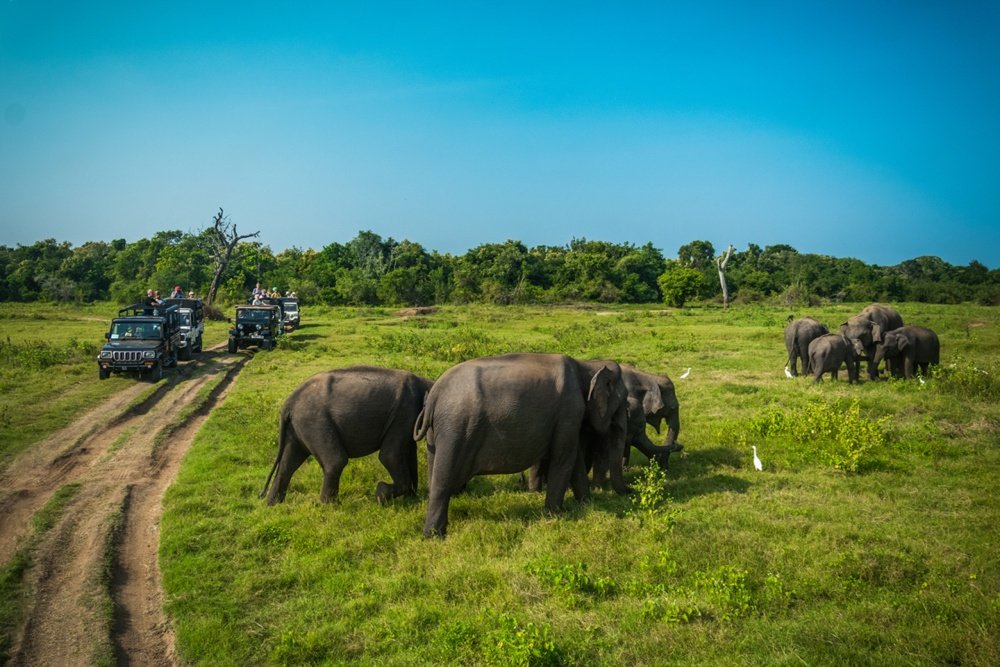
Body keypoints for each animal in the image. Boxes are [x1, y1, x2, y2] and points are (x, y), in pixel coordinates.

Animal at [260, 366, 433, 505]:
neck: (426, 381)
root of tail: (289, 402)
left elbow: (409, 453)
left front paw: (412, 500)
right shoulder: (404, 412)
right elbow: (389, 456)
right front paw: (381, 495)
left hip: (298, 427)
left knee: (289, 462)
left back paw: (273, 505)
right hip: (314, 421)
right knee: (335, 460)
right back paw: (330, 507)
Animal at [413, 353, 628, 537]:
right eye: (624, 400)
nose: (630, 491)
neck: (586, 365)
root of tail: (433, 396)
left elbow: (573, 459)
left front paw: (586, 504)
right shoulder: (570, 411)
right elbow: (563, 457)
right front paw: (554, 516)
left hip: (436, 433)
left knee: (434, 474)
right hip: (455, 428)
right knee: (443, 479)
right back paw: (434, 536)